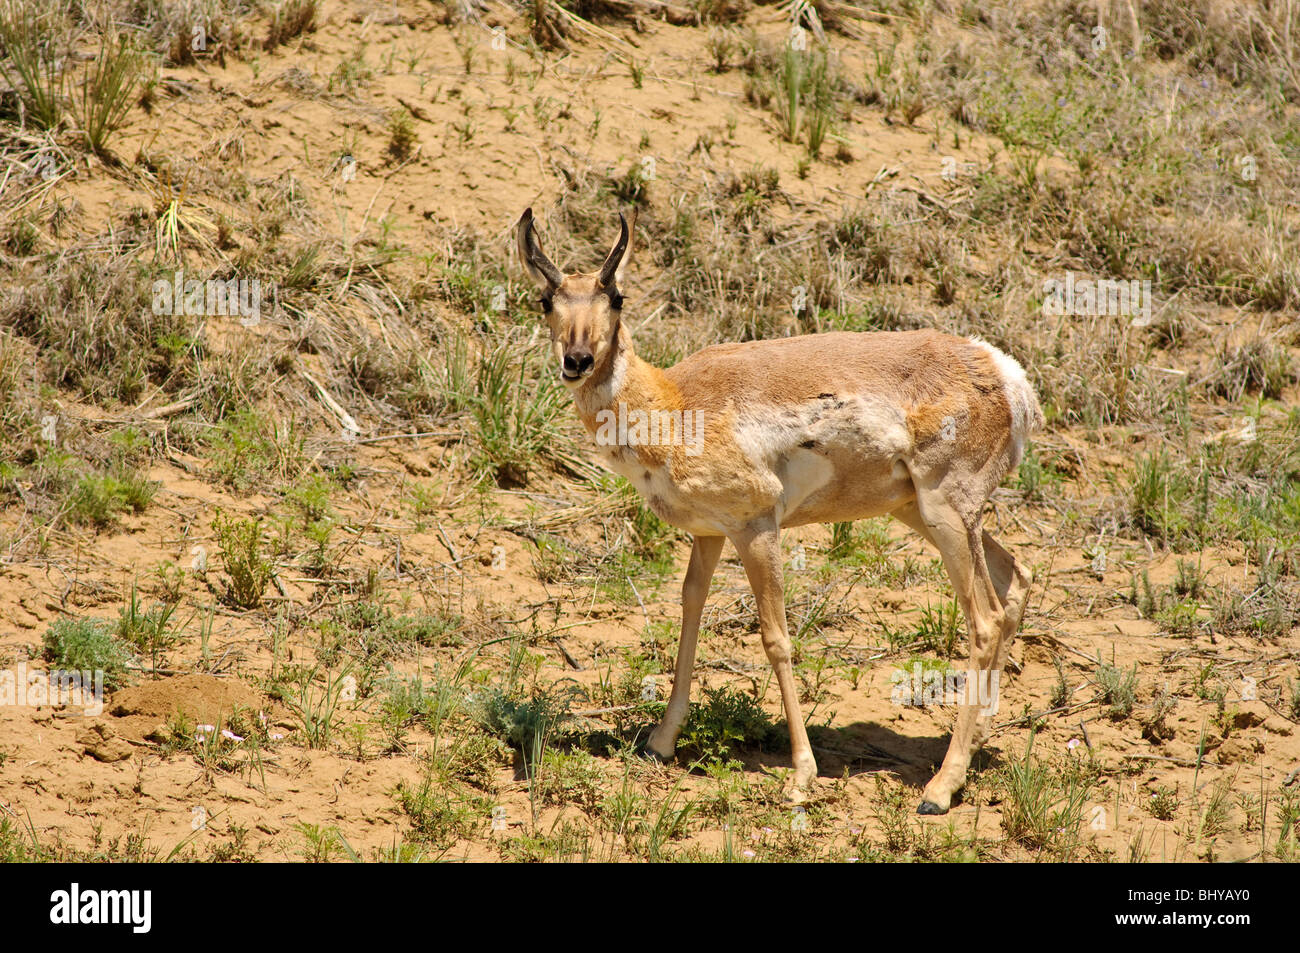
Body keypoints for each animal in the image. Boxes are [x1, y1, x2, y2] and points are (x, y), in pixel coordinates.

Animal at [514, 206, 1045, 811]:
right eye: (546, 300)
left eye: (617, 296)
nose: (576, 360)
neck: (673, 400)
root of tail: (1003, 371)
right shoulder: (709, 533)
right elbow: (690, 610)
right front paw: (660, 742)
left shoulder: (757, 528)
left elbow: (775, 638)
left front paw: (801, 776)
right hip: (922, 512)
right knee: (1017, 579)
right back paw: (974, 744)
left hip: (946, 514)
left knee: (985, 619)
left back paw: (939, 787)